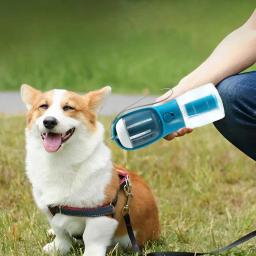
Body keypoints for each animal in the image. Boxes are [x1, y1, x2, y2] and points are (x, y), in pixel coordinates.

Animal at [20, 85, 160, 255]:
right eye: (43, 106)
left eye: (68, 107)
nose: (49, 121)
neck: (60, 161)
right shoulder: (50, 211)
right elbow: (60, 232)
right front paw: (57, 247)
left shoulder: (101, 215)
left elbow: (91, 237)